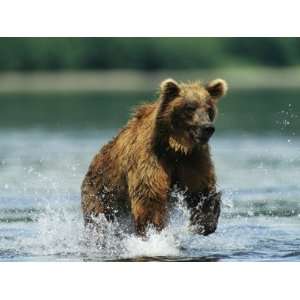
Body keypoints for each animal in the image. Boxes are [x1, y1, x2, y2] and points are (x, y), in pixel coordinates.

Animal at [81, 78, 227, 237]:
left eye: (209, 108)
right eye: (190, 107)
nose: (207, 128)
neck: (174, 146)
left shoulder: (192, 159)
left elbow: (201, 190)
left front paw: (205, 223)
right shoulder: (150, 157)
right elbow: (150, 195)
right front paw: (152, 229)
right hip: (101, 194)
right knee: (98, 220)